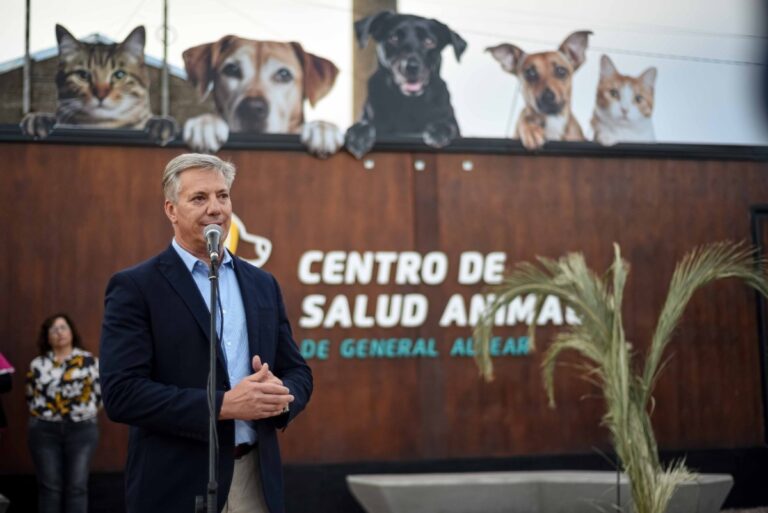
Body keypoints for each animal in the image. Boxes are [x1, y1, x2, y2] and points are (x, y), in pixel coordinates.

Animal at [346, 11, 468, 158]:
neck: (408, 103)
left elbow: (448, 124)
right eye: (393, 38)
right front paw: (358, 133)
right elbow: (364, 123)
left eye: (429, 41)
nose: (411, 67)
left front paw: (440, 129)